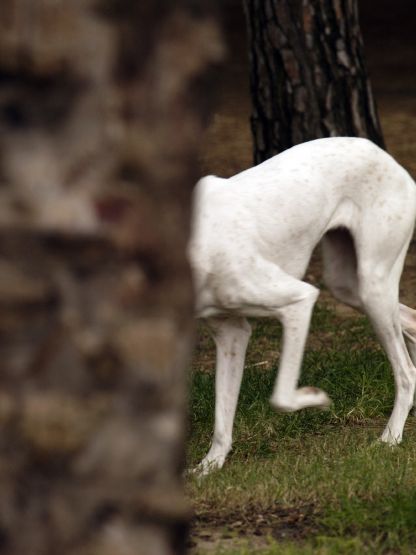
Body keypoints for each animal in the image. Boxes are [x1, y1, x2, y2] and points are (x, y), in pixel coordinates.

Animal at [189, 138, 416, 474]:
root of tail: (384, 155)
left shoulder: (299, 300)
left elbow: (281, 397)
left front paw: (316, 399)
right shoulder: (231, 333)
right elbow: (222, 417)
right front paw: (210, 467)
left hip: (373, 284)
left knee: (406, 371)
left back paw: (390, 438)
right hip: (348, 286)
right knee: (411, 321)